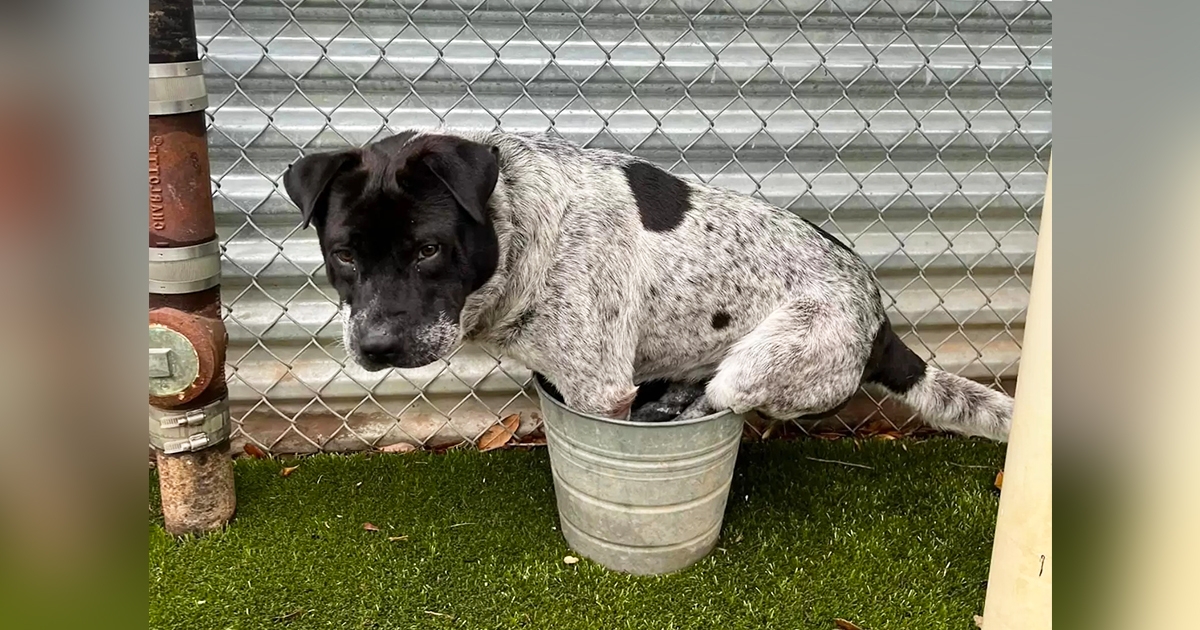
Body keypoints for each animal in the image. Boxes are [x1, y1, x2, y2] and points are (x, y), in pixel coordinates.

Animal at [283, 129, 1012, 441]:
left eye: (429, 249)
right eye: (343, 255)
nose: (377, 346)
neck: (525, 231)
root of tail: (880, 321)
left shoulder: (600, 392)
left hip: (761, 365)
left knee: (725, 398)